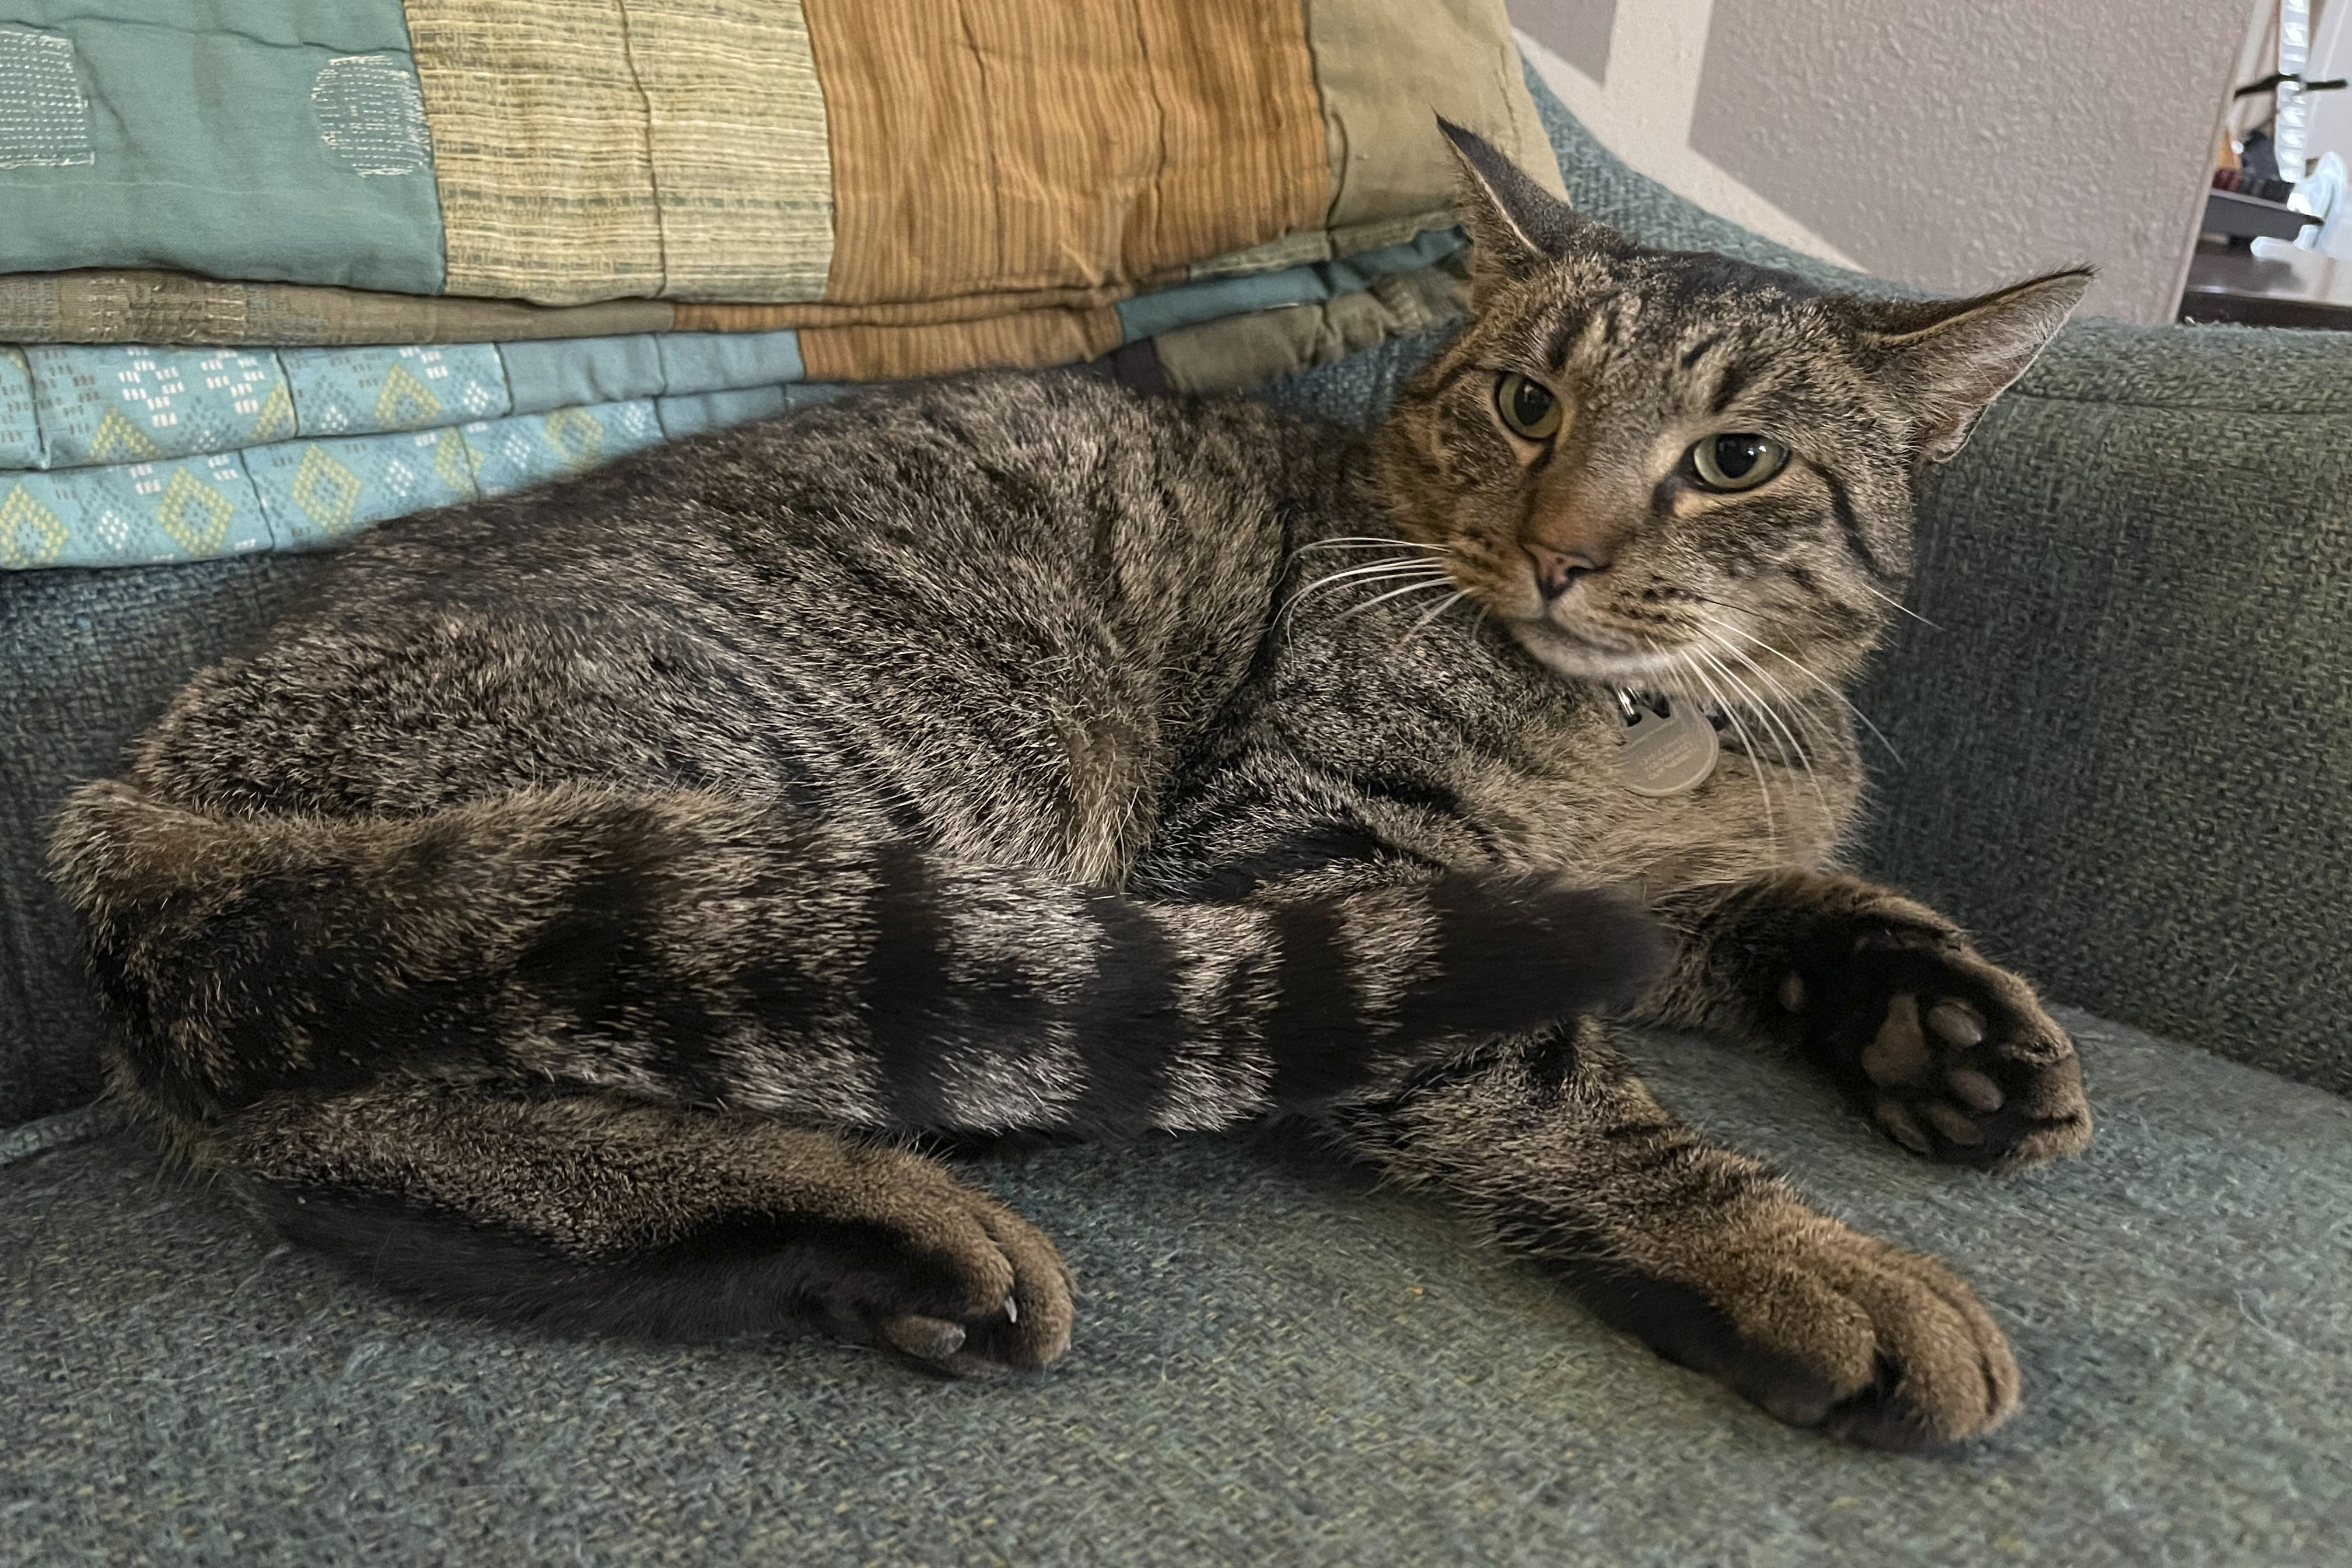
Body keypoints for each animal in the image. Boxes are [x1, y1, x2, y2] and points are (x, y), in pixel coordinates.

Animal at [46, 128, 2088, 1457]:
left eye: (1735, 461)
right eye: (1526, 404)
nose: (1565, 549)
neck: (1644, 728)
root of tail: (133, 805)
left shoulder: (1656, 885)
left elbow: (1821, 906)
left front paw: (1954, 1034)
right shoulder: (1318, 852)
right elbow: (1566, 1094)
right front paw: (1801, 1254)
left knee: (340, 1141)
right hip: (831, 807)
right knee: (387, 1102)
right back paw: (893, 1217)